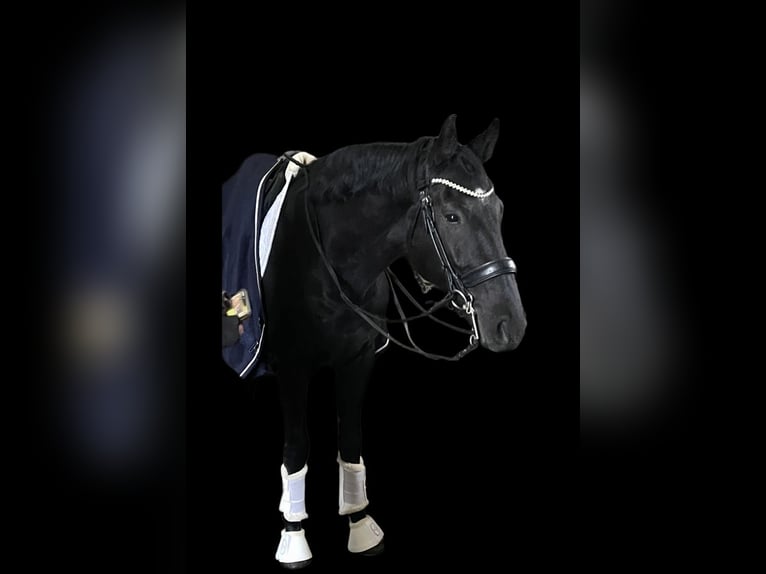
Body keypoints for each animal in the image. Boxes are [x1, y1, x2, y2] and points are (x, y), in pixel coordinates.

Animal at [221, 115, 526, 568]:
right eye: (452, 216)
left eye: (499, 211)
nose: (510, 323)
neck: (322, 260)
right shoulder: (293, 368)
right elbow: (296, 449)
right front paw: (293, 536)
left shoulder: (358, 359)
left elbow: (350, 442)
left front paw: (360, 525)